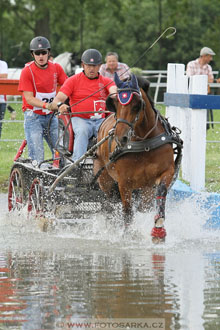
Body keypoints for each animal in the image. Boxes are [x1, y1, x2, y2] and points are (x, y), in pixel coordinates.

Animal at [93, 73, 181, 242]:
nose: (120, 137)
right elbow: (127, 211)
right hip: (105, 180)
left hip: (145, 188)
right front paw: (128, 235)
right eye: (115, 104)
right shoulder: (123, 182)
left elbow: (160, 193)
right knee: (111, 204)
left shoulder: (166, 172)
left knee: (142, 206)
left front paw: (158, 230)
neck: (144, 143)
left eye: (136, 105)